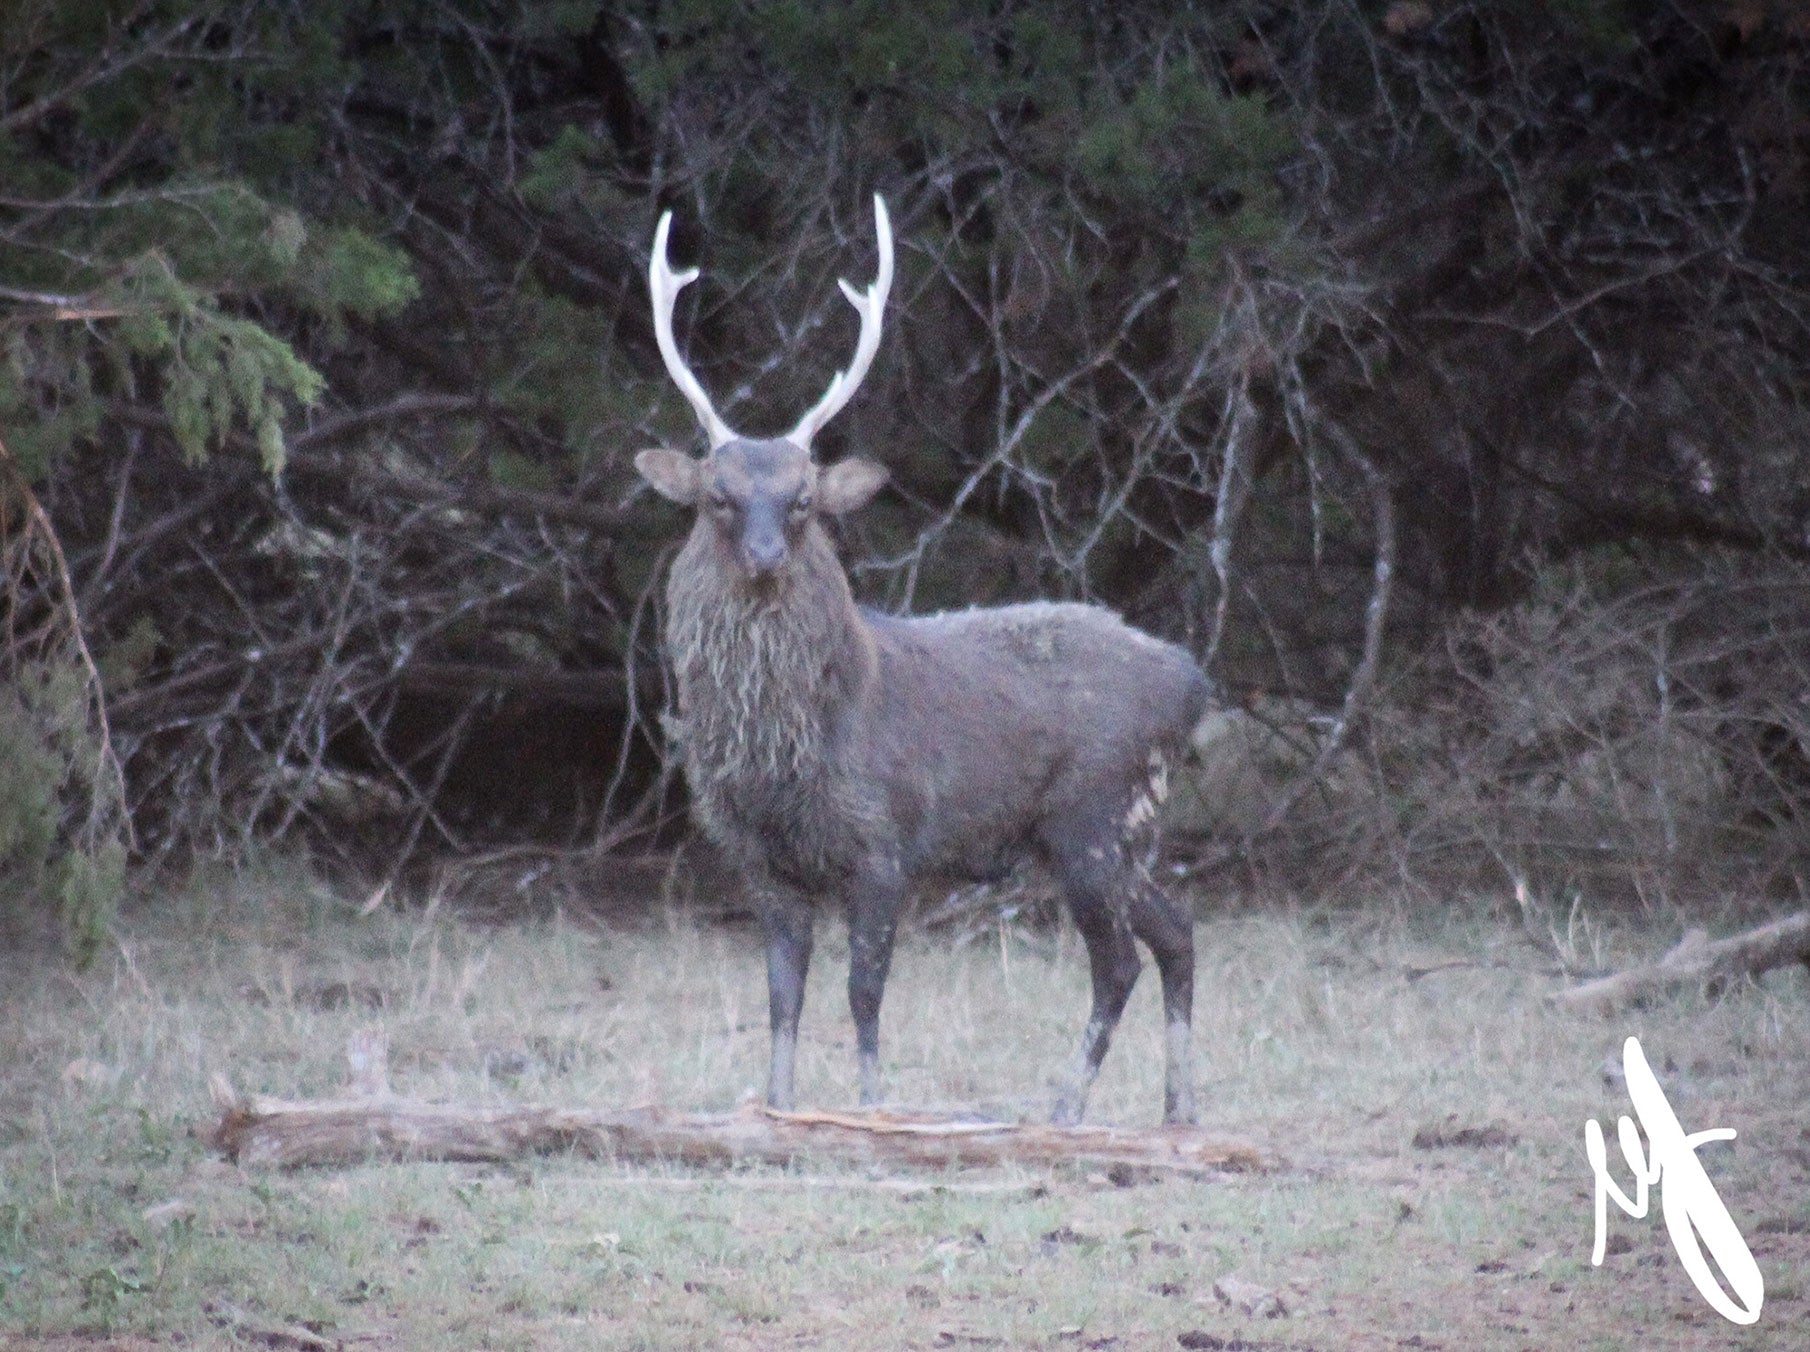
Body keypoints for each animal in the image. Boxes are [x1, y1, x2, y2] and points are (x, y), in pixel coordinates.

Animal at [634, 196, 1211, 1125]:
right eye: (718, 499)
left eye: (802, 500)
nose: (765, 557)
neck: (786, 755)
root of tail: (1193, 684)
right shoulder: (758, 859)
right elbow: (783, 997)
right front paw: (778, 1108)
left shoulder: (885, 841)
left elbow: (864, 993)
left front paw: (872, 1109)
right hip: (1118, 832)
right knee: (1178, 930)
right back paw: (1177, 1108)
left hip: (1095, 812)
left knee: (1119, 959)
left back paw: (1067, 1108)